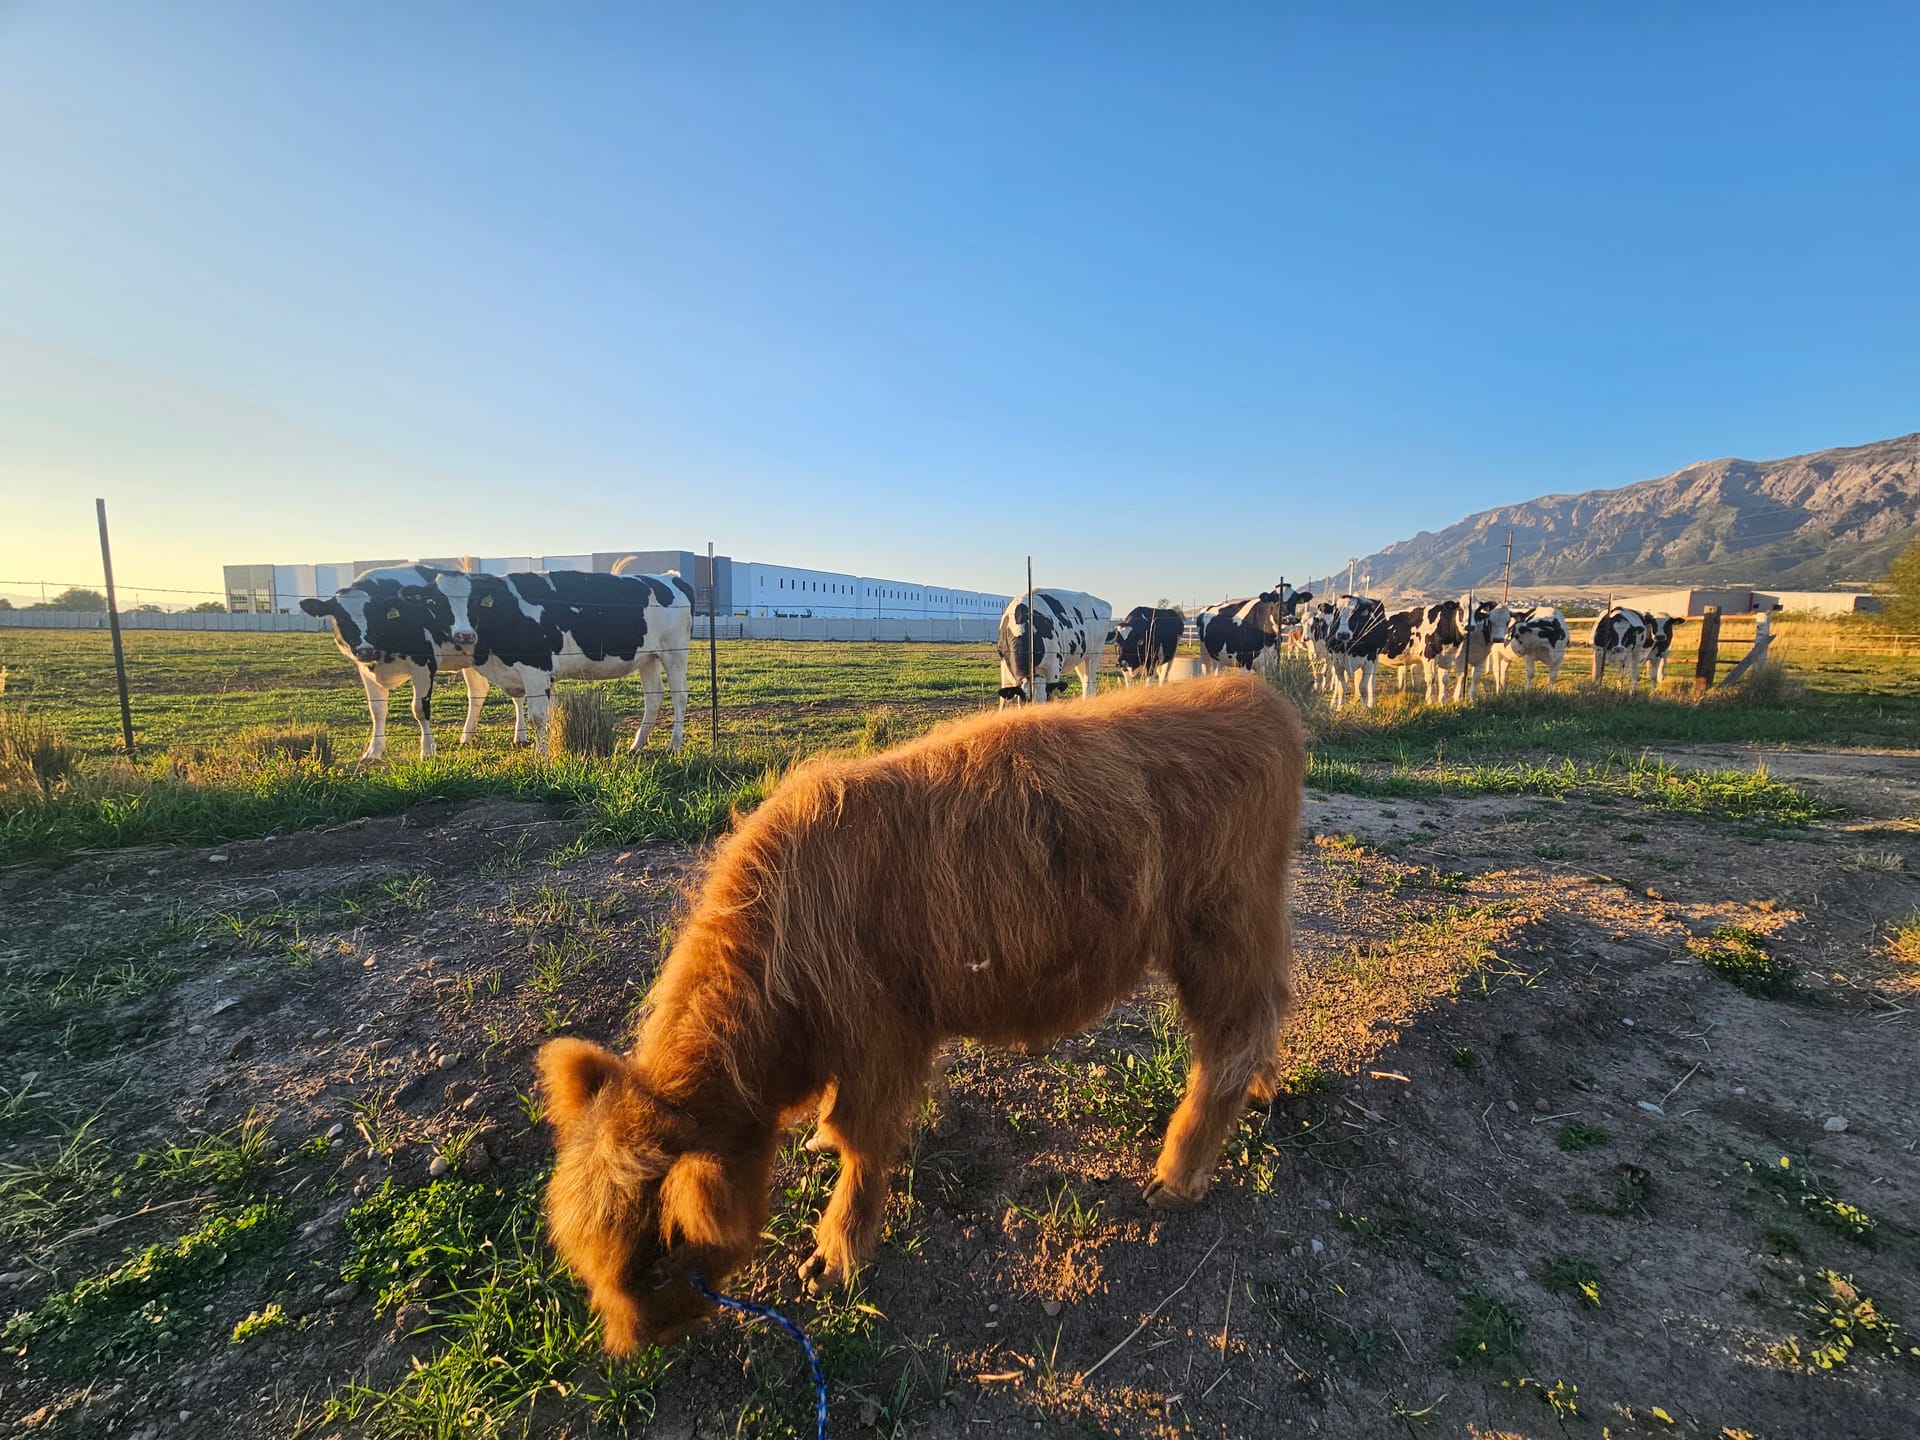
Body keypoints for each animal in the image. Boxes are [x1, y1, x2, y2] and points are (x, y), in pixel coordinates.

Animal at [300, 566, 511, 761]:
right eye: (341, 617)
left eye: (373, 614)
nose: (365, 650)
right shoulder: (365, 670)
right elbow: (377, 710)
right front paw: (373, 751)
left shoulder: (424, 664)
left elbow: (420, 708)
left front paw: (428, 751)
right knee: (477, 691)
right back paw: (466, 737)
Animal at [438, 569, 696, 752]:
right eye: (437, 603)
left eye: (473, 601)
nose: (464, 635)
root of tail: (669, 577)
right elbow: (544, 711)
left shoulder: (536, 669)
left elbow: (538, 717)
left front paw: (541, 755)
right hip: (648, 658)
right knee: (654, 696)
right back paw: (637, 744)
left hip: (674, 653)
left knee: (679, 695)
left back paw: (674, 745)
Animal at [537, 674, 1306, 1353]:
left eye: (654, 1258)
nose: (632, 1347)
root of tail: (1254, 694)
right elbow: (841, 1127)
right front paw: (818, 1142)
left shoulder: (882, 1038)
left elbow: (864, 1143)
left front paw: (835, 1255)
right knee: (1268, 1010)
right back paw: (1263, 1091)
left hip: (1219, 929)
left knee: (1230, 1040)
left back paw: (1177, 1175)